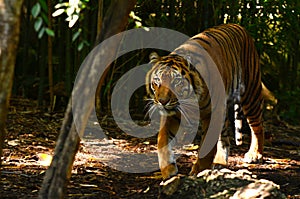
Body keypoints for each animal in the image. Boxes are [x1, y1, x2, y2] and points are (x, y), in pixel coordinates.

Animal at [145, 23, 268, 179]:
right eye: (157, 81)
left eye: (176, 81)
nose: (162, 101)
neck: (189, 101)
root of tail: (239, 26)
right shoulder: (172, 115)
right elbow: (162, 140)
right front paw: (169, 171)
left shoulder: (212, 114)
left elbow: (207, 147)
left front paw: (198, 171)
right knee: (225, 137)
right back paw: (220, 162)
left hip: (250, 95)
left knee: (258, 126)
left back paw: (254, 154)